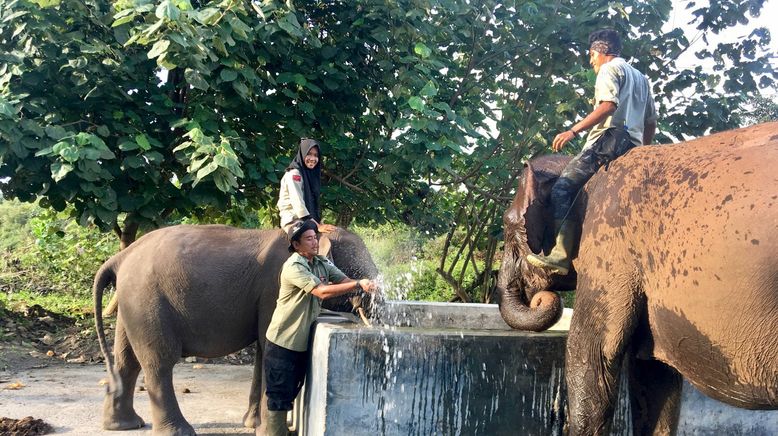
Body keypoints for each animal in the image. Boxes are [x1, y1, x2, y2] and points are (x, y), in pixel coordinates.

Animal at [92, 225, 378, 436]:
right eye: (356, 267)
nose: (368, 290)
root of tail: (120, 257)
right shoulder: (274, 286)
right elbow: (269, 345)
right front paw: (266, 432)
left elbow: (264, 347)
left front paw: (251, 425)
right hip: (148, 301)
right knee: (159, 363)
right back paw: (178, 432)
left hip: (132, 303)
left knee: (127, 360)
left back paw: (124, 425)